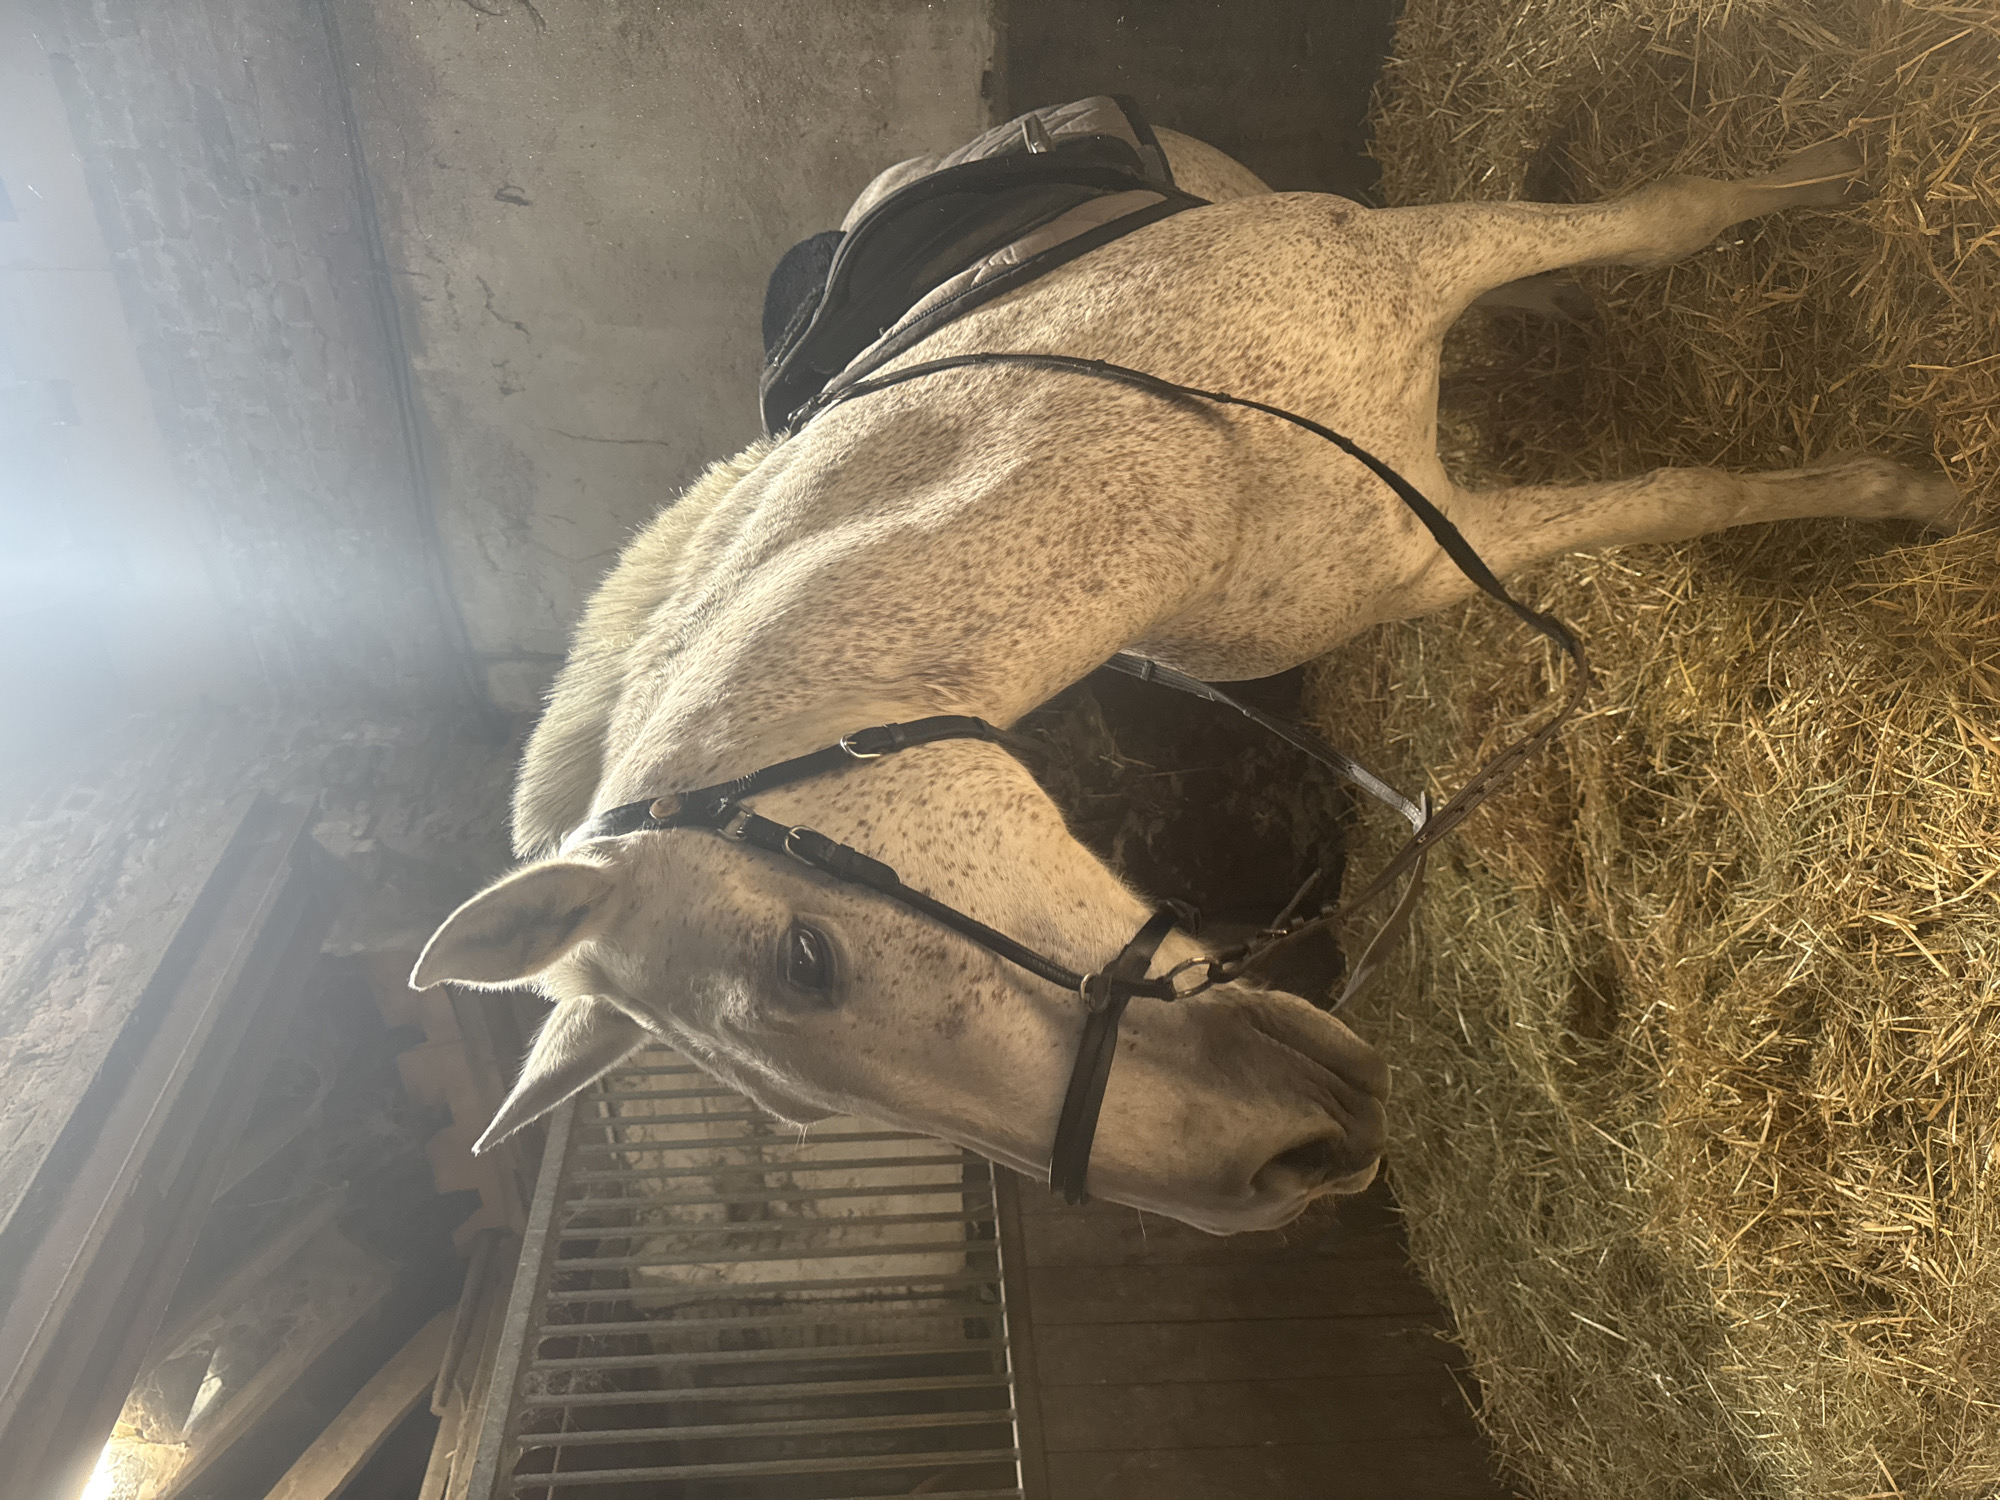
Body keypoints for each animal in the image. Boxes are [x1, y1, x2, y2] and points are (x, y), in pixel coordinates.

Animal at [411, 124, 1957, 1234]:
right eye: (804, 1120)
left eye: (807, 961)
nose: (1291, 1164)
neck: (1189, 468)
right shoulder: (1426, 551)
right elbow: (1673, 497)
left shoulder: (1413, 252)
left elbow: (1670, 244)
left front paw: (1875, 399)